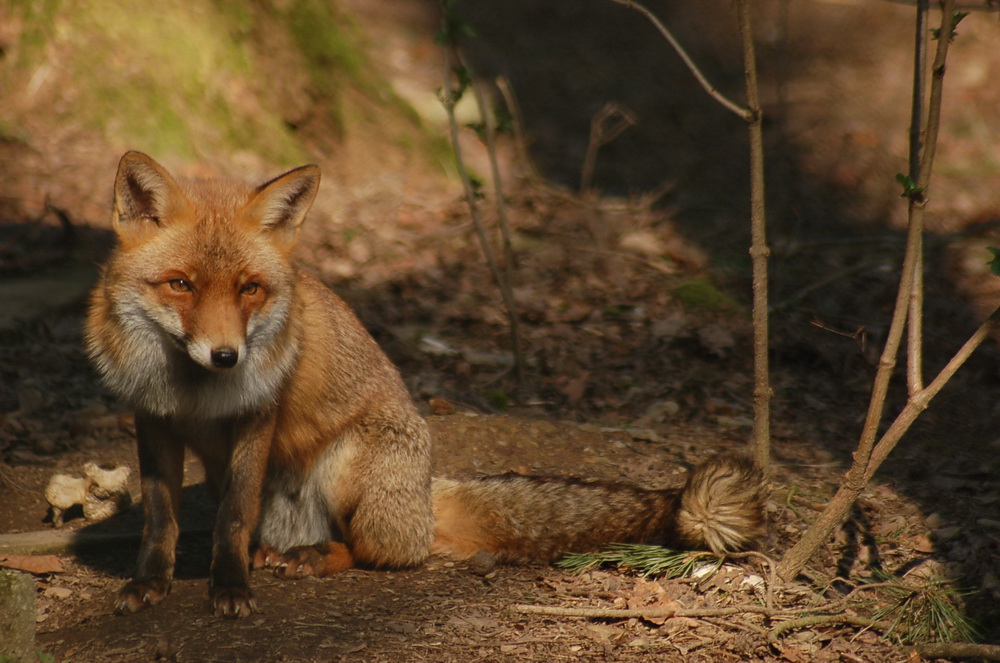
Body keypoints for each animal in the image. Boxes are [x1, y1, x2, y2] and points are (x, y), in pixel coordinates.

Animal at [86, 150, 764, 616]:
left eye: (250, 288)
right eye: (181, 285)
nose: (226, 356)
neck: (194, 391)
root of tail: (427, 492)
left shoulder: (257, 417)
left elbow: (231, 516)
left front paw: (228, 587)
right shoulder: (153, 419)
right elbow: (160, 519)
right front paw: (150, 582)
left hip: (349, 467)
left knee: (382, 554)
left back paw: (313, 557)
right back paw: (278, 553)